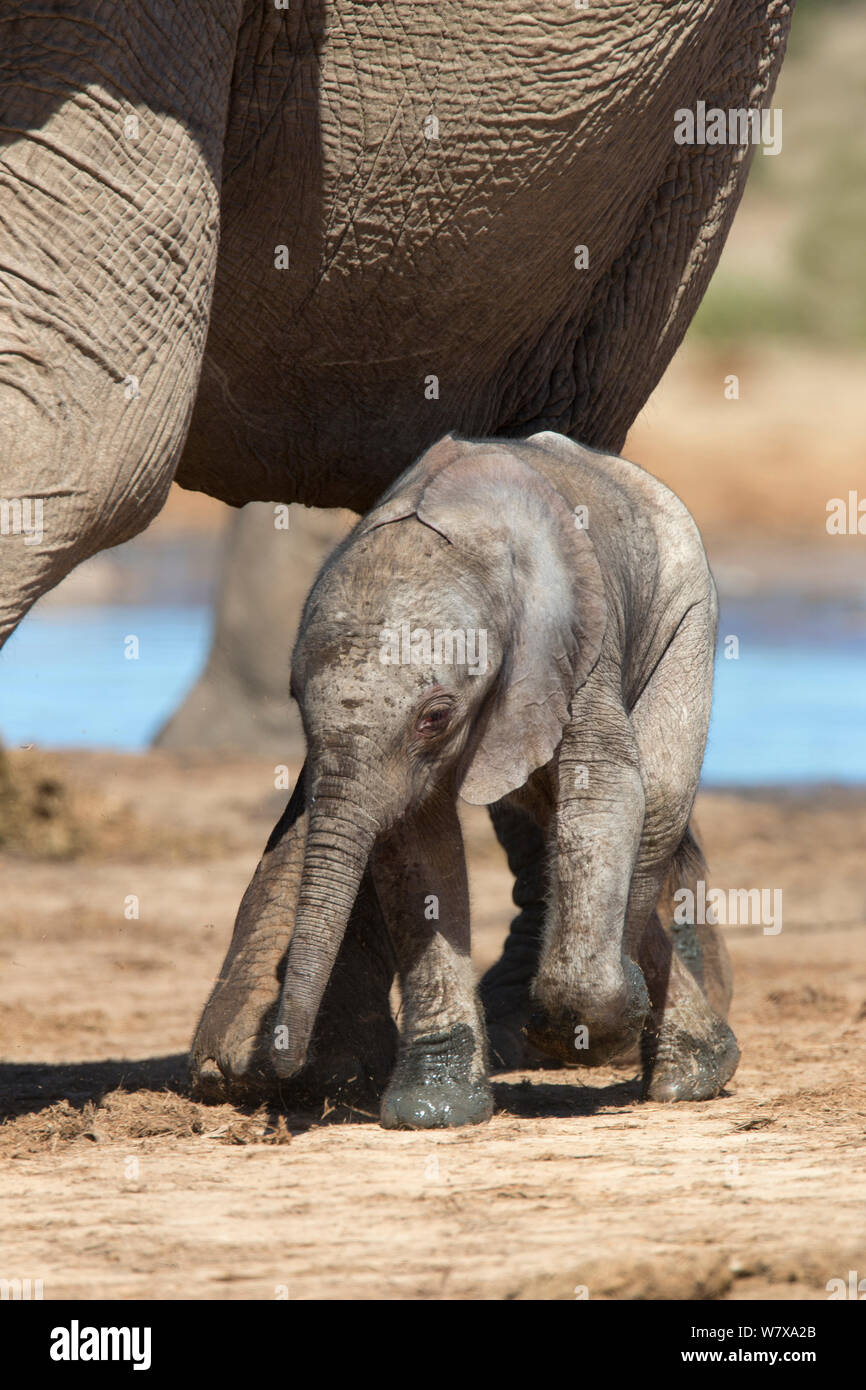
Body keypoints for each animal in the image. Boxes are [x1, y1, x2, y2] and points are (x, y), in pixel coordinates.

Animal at [271, 433, 739, 1128]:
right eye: (294, 697)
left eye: (435, 716)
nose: (285, 1070)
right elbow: (416, 846)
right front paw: (432, 1112)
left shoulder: (572, 650)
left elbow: (606, 788)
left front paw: (574, 1034)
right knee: (562, 822)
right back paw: (696, 1067)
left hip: (685, 613)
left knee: (656, 800)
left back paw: (661, 1053)